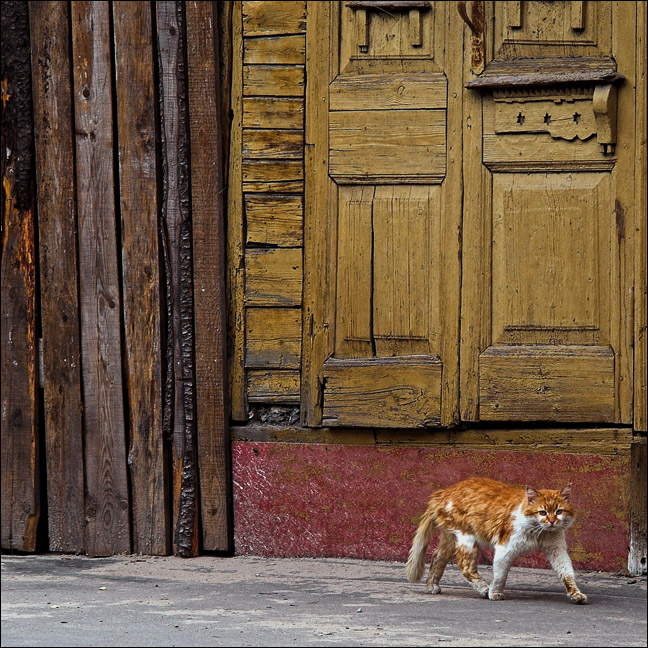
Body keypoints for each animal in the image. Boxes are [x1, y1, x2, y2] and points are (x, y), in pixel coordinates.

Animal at [408, 478, 584, 604]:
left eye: (559, 511)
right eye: (542, 512)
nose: (552, 521)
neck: (540, 533)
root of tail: (443, 493)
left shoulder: (556, 550)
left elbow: (567, 573)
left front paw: (576, 594)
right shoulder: (505, 549)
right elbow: (500, 575)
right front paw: (495, 593)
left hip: (451, 538)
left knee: (437, 557)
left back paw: (432, 586)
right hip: (467, 539)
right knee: (465, 567)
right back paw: (484, 589)